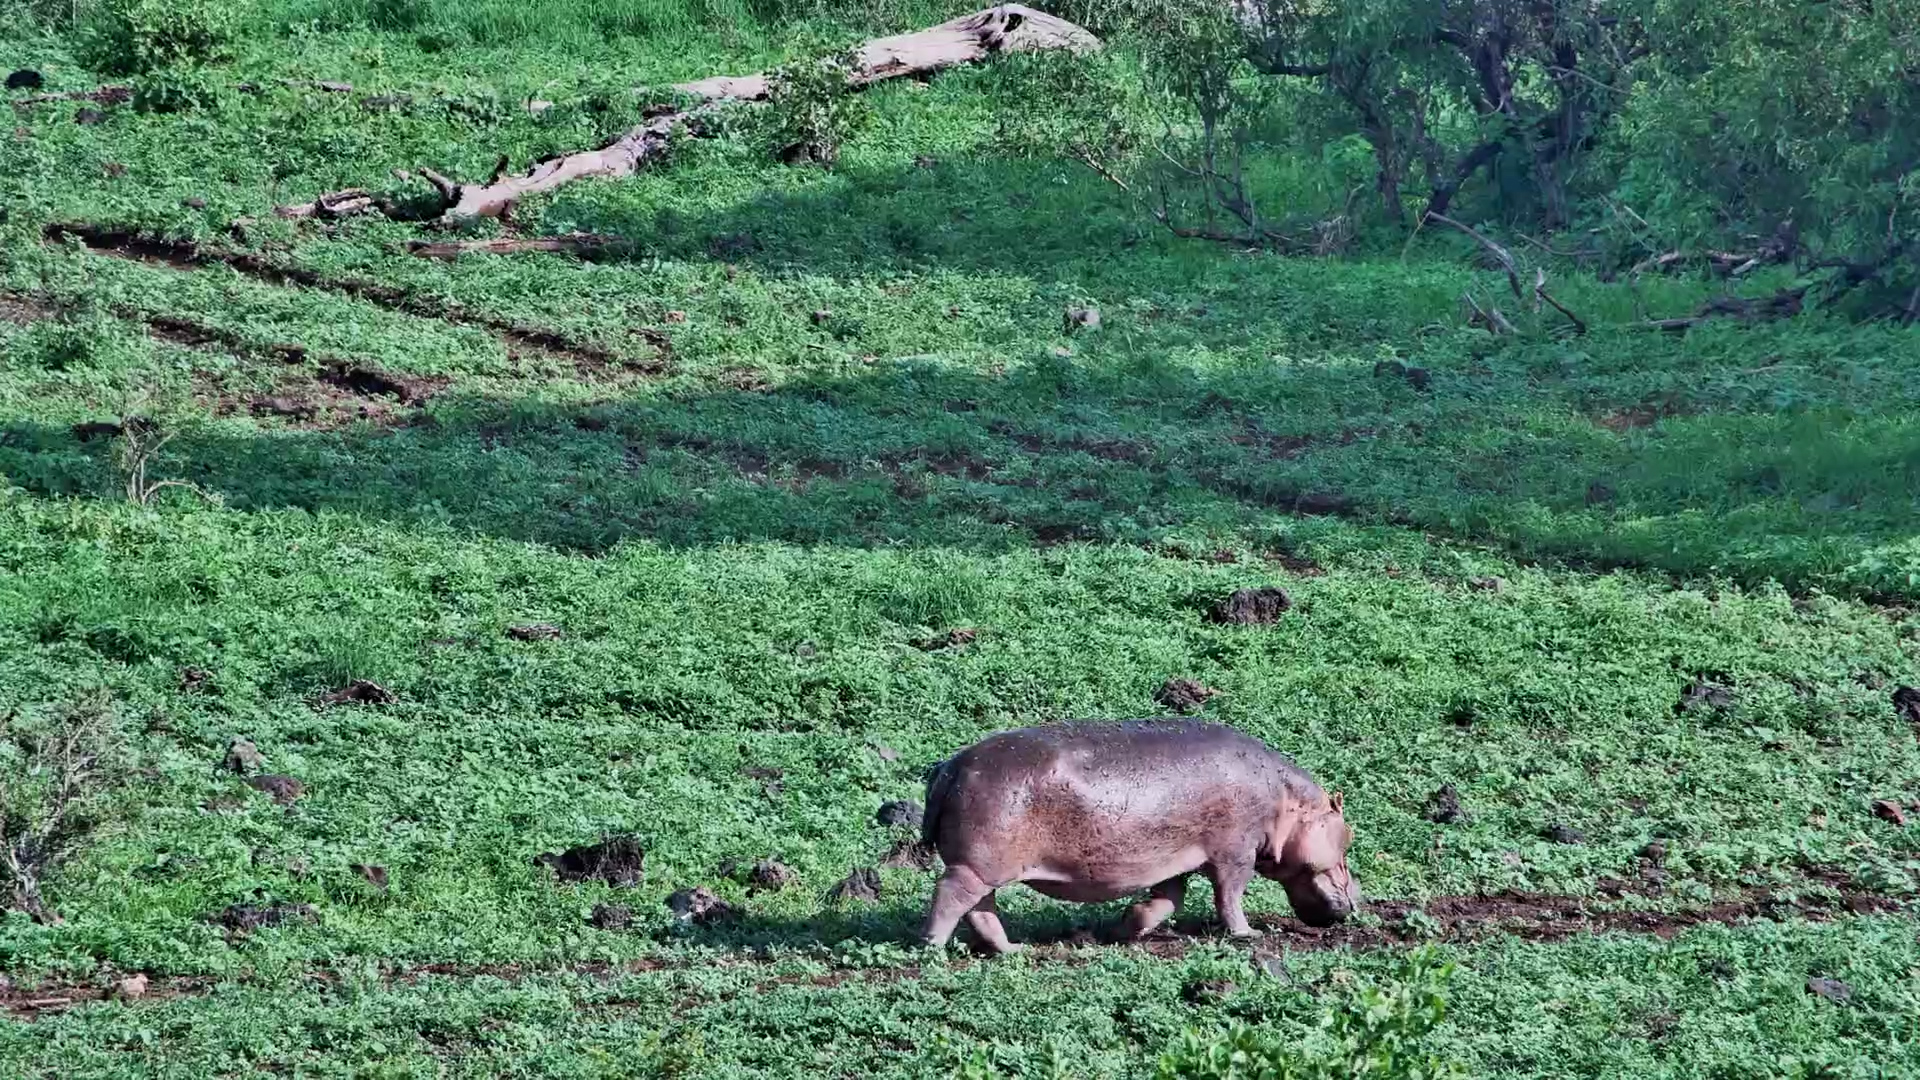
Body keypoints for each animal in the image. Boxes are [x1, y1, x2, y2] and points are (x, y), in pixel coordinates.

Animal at [917, 719, 1357, 953]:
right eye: (1347, 841)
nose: (1358, 901)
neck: (1288, 804)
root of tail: (950, 766)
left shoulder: (1177, 857)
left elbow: (1167, 899)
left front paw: (1124, 927)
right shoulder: (1236, 853)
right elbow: (1229, 896)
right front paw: (1249, 933)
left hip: (984, 868)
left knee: (981, 909)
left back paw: (1011, 950)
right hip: (977, 865)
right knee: (950, 896)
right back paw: (934, 946)